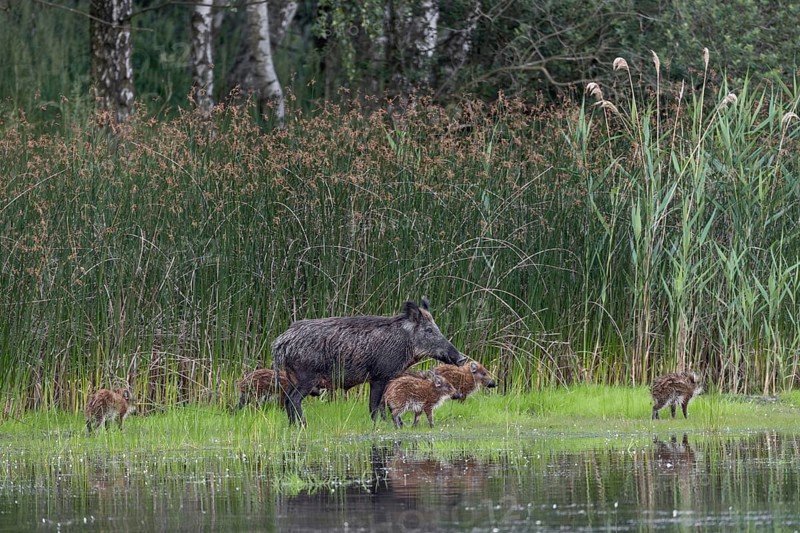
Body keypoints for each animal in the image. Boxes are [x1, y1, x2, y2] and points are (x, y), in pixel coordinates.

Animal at [271, 298, 467, 425]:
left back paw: (293, 425)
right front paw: (378, 425)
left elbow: (382, 404)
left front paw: (389, 424)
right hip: (307, 376)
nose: (462, 358)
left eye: (436, 327)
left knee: (287, 400)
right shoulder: (379, 376)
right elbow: (374, 404)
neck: (405, 342)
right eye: (428, 330)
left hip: (293, 377)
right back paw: (302, 424)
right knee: (293, 399)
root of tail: (281, 341)